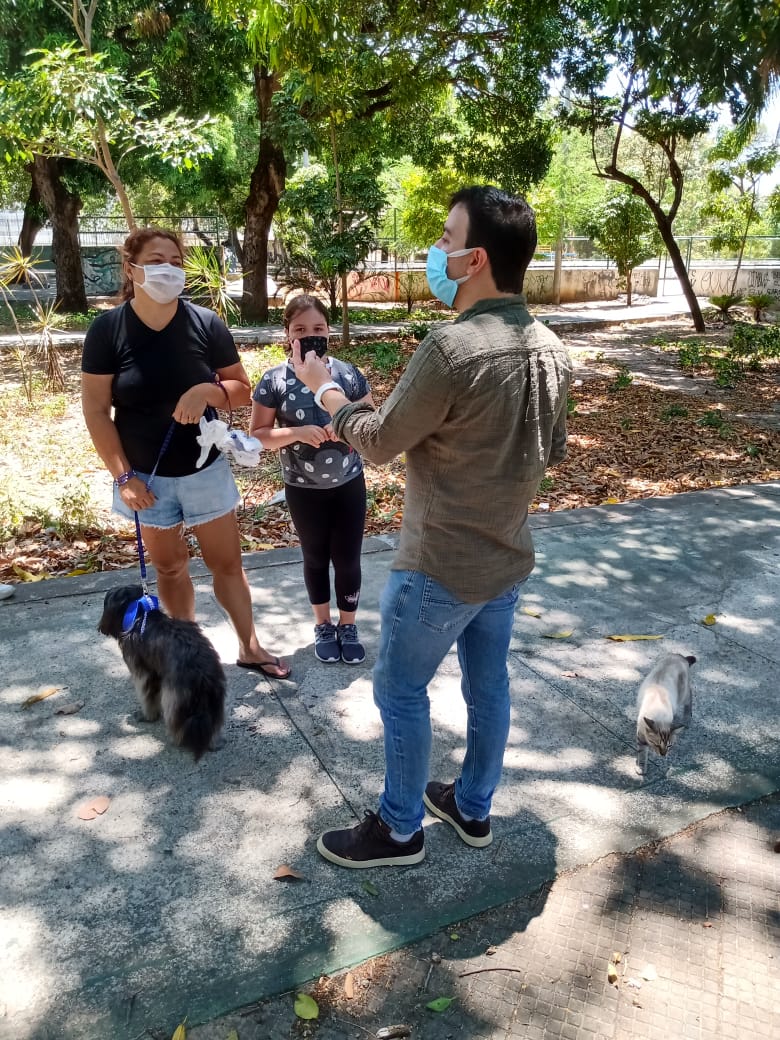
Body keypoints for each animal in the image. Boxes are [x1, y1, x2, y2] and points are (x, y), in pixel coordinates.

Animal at [98, 586, 225, 765]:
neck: (140, 615)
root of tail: (201, 672)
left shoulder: (143, 673)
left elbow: (146, 696)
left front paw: (146, 716)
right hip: (214, 697)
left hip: (174, 697)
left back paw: (178, 739)